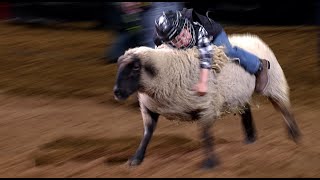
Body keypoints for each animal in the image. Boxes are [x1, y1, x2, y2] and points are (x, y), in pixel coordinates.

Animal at [114, 33, 302, 169]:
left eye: (135, 67)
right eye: (120, 66)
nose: (117, 92)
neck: (167, 70)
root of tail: (252, 38)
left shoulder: (206, 107)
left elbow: (206, 135)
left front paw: (210, 163)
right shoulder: (149, 108)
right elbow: (147, 133)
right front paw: (136, 159)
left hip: (274, 84)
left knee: (284, 108)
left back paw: (295, 136)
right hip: (238, 92)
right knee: (246, 110)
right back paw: (250, 137)